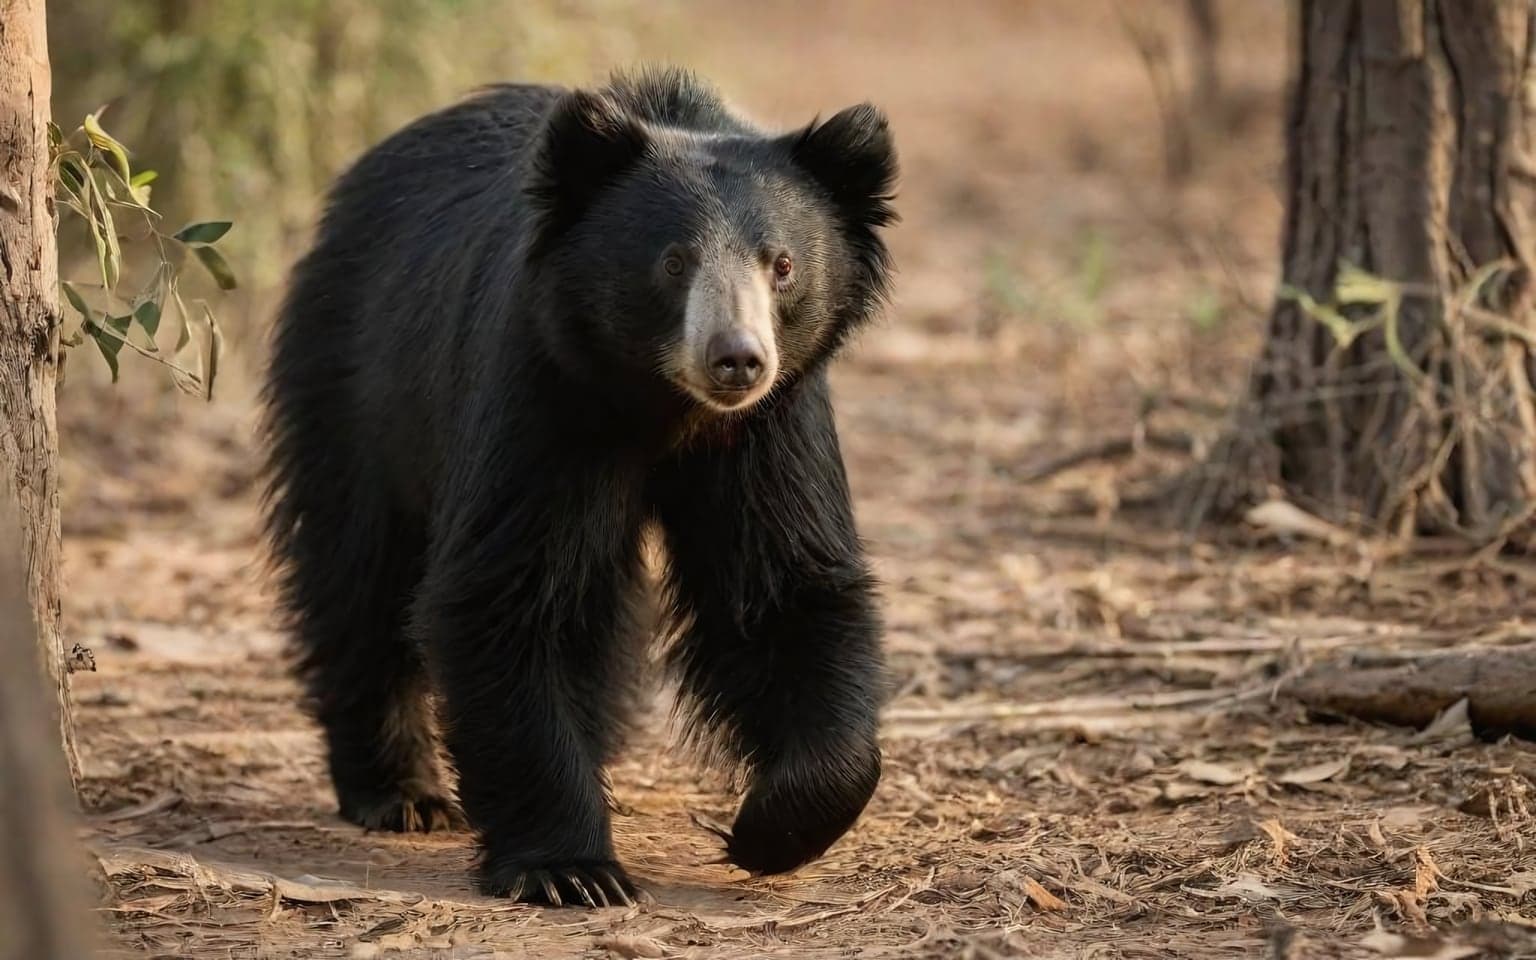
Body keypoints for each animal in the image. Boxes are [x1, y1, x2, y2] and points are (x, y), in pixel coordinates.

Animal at [260, 66, 897, 907]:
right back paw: (401, 793)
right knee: (360, 570)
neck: (666, 407)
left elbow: (783, 589)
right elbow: (506, 593)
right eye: (674, 261)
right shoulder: (544, 387)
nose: (737, 360)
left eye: (782, 264)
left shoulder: (771, 426)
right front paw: (570, 870)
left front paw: (770, 827)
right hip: (357, 384)